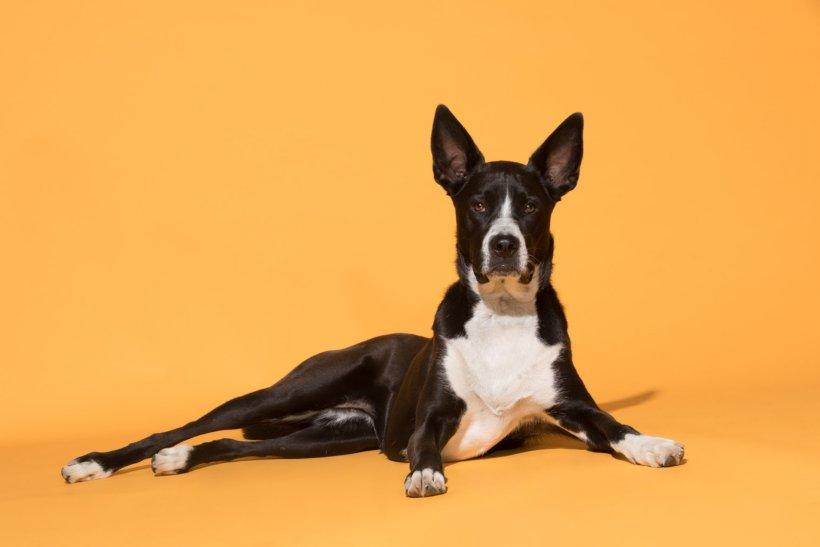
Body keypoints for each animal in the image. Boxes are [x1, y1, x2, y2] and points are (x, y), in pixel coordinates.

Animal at [59, 106, 684, 496]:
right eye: (478, 205)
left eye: (531, 205)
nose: (504, 243)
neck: (502, 316)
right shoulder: (429, 418)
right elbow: (426, 443)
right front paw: (425, 475)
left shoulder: (571, 408)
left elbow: (615, 424)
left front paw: (652, 445)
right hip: (289, 390)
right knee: (182, 427)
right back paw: (99, 462)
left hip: (328, 438)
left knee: (235, 446)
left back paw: (181, 461)